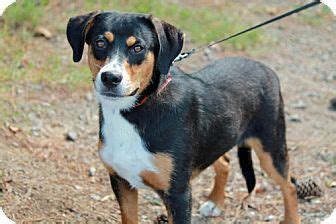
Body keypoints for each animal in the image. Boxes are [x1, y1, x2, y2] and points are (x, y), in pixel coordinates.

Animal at [65, 10, 300, 224]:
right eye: (100, 43)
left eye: (138, 47)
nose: (110, 78)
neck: (136, 110)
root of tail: (264, 67)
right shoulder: (121, 181)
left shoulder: (178, 194)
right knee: (224, 162)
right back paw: (215, 202)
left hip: (271, 148)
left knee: (290, 186)